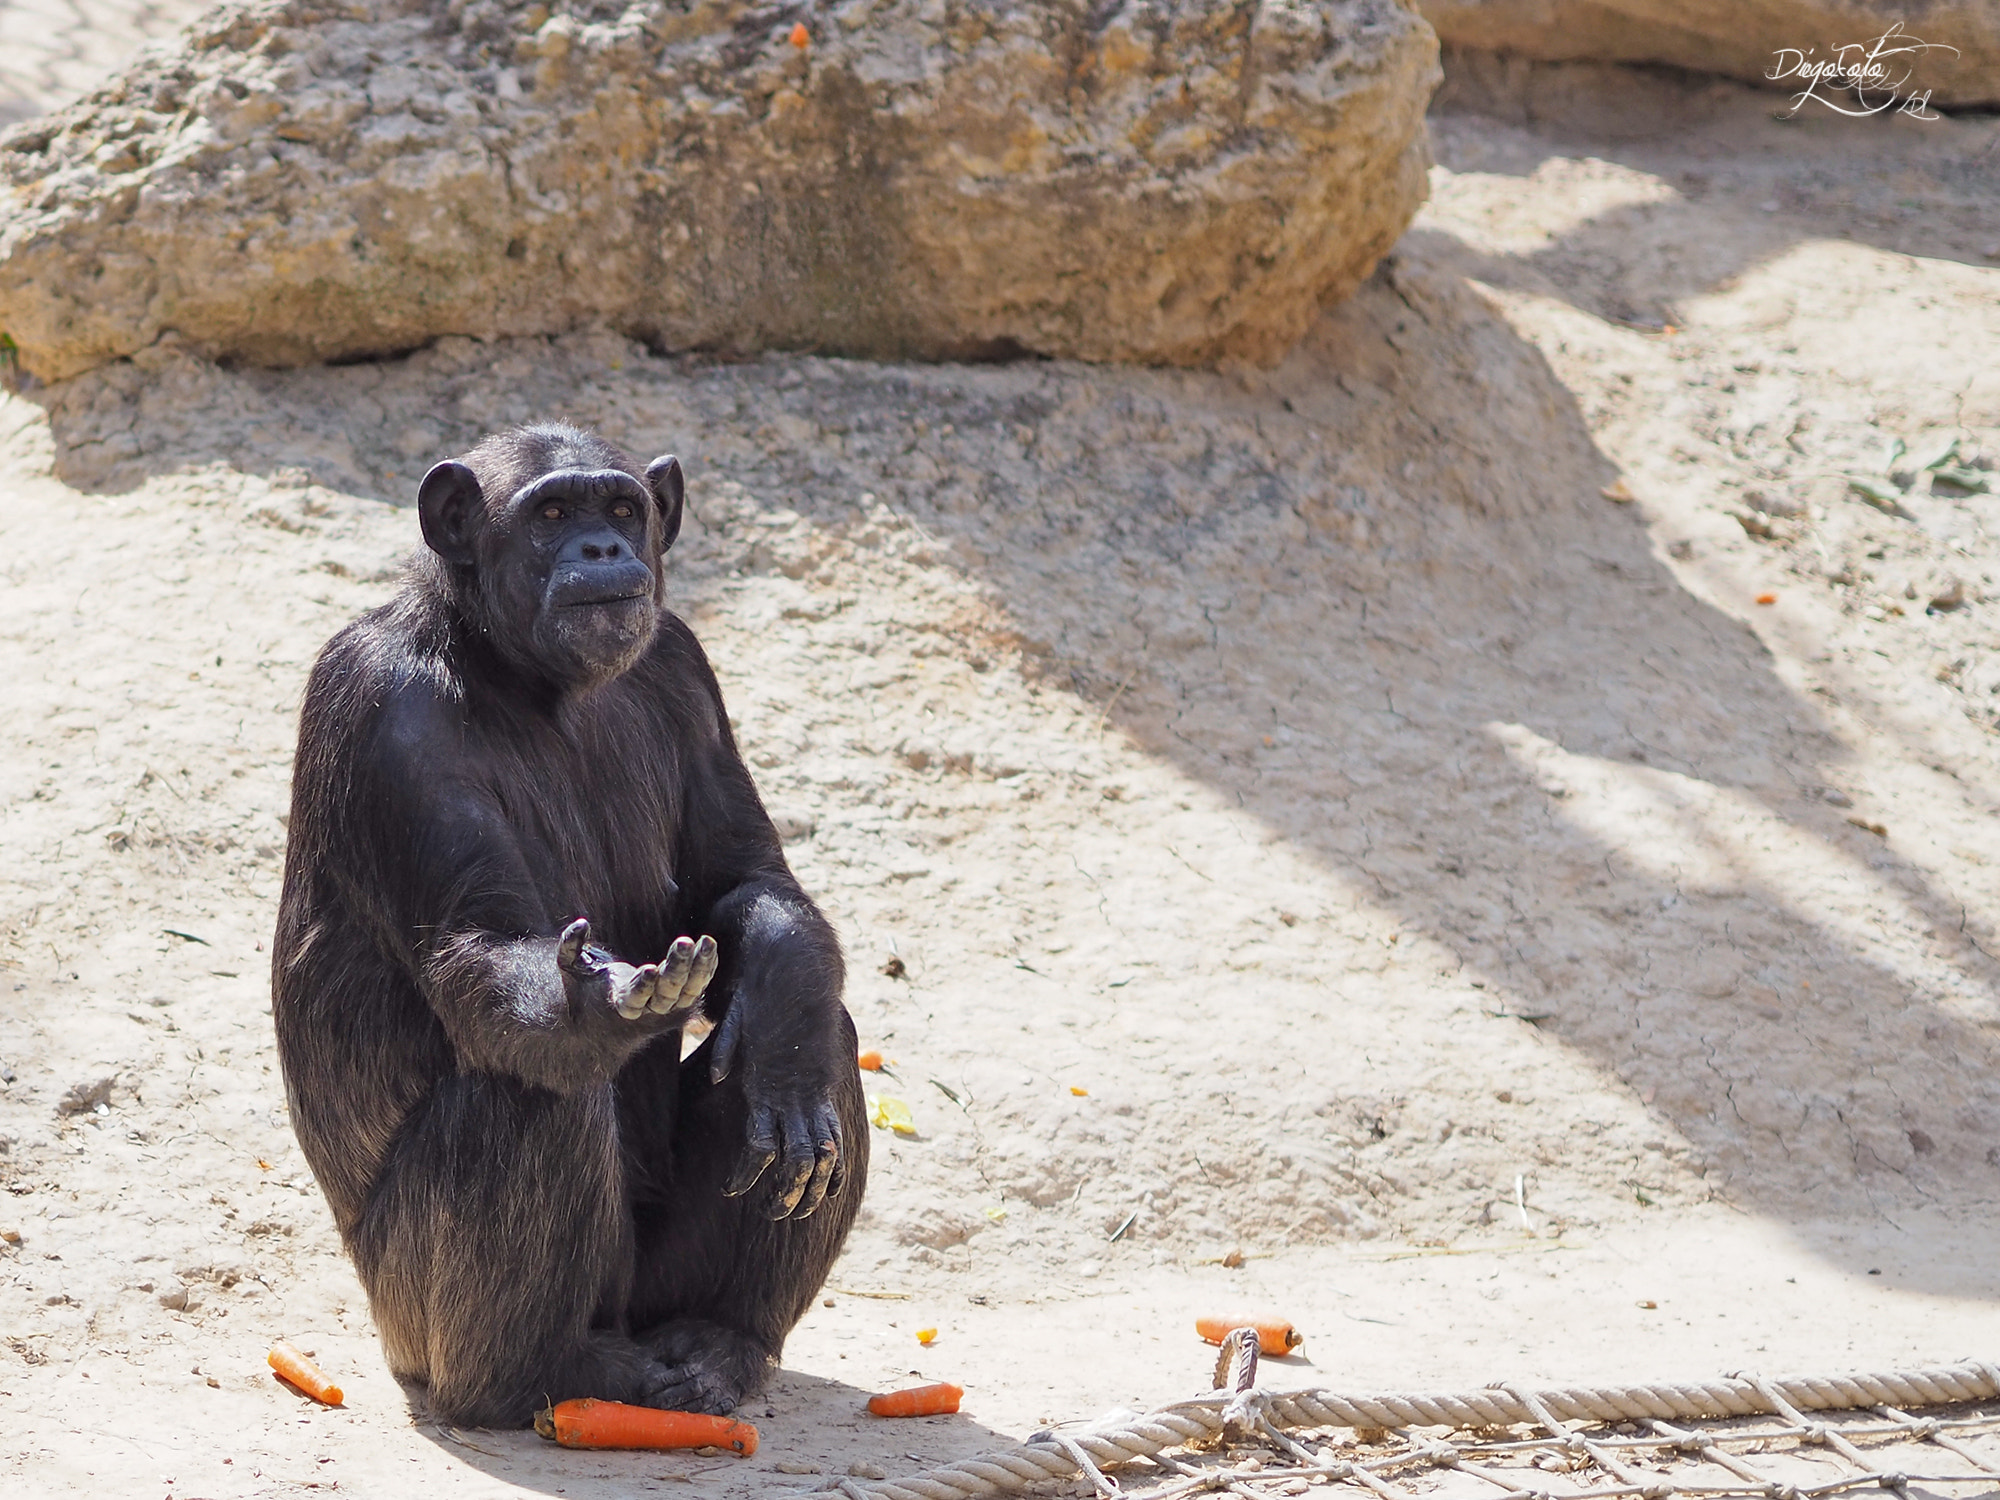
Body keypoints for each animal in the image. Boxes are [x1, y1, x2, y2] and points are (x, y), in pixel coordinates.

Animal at [266, 424, 860, 1432]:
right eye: (549, 513)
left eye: (620, 506)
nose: (603, 547)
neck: (524, 678)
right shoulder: (381, 708)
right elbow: (478, 951)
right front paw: (604, 1006)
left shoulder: (684, 664)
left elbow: (741, 875)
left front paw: (782, 1029)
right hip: (416, 1321)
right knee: (530, 1087)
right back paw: (547, 1375)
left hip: (652, 1290)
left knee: (832, 1040)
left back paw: (721, 1339)